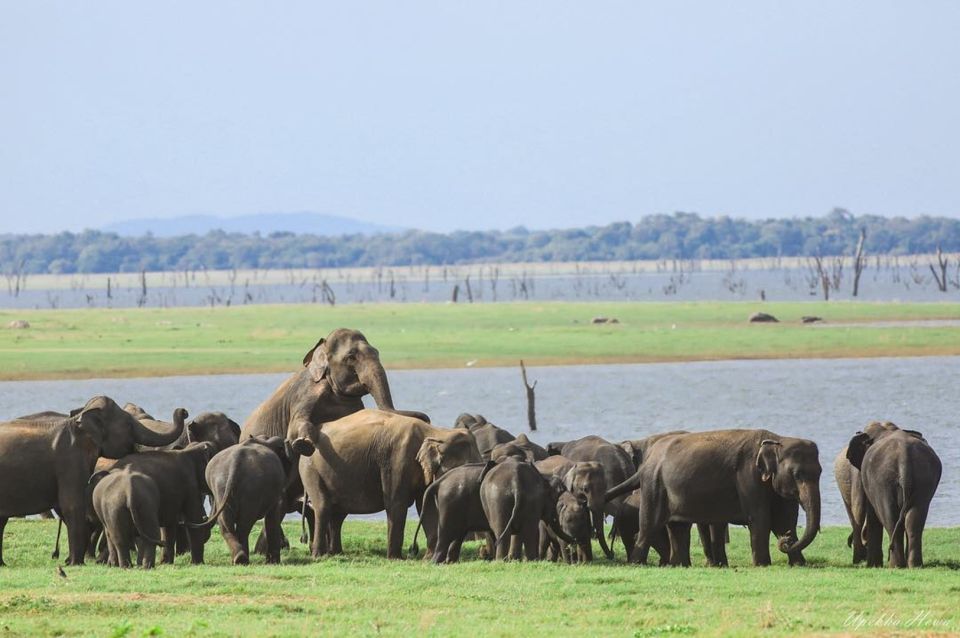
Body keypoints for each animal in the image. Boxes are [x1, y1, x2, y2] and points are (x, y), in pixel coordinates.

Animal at [0, 398, 184, 568]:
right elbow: (72, 505)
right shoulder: (70, 460)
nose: (183, 411)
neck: (77, 421)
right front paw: (76, 563)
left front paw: (73, 561)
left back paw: (3, 564)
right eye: (128, 424)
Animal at [200, 436, 316, 564]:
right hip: (251, 490)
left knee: (226, 524)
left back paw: (238, 559)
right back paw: (242, 559)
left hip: (220, 486)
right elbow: (274, 515)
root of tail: (235, 463)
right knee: (244, 525)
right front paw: (273, 562)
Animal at [298, 410, 480, 560]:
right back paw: (319, 556)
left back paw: (336, 553)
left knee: (338, 514)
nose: (413, 549)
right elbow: (396, 504)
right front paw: (395, 559)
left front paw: (427, 558)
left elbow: (426, 506)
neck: (436, 431)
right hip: (310, 469)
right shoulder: (397, 461)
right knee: (323, 507)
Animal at [844, 422, 940, 568]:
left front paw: (873, 565)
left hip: (883, 481)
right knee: (914, 520)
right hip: (924, 479)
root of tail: (904, 458)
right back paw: (914, 565)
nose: (849, 543)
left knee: (890, 518)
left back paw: (895, 565)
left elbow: (872, 514)